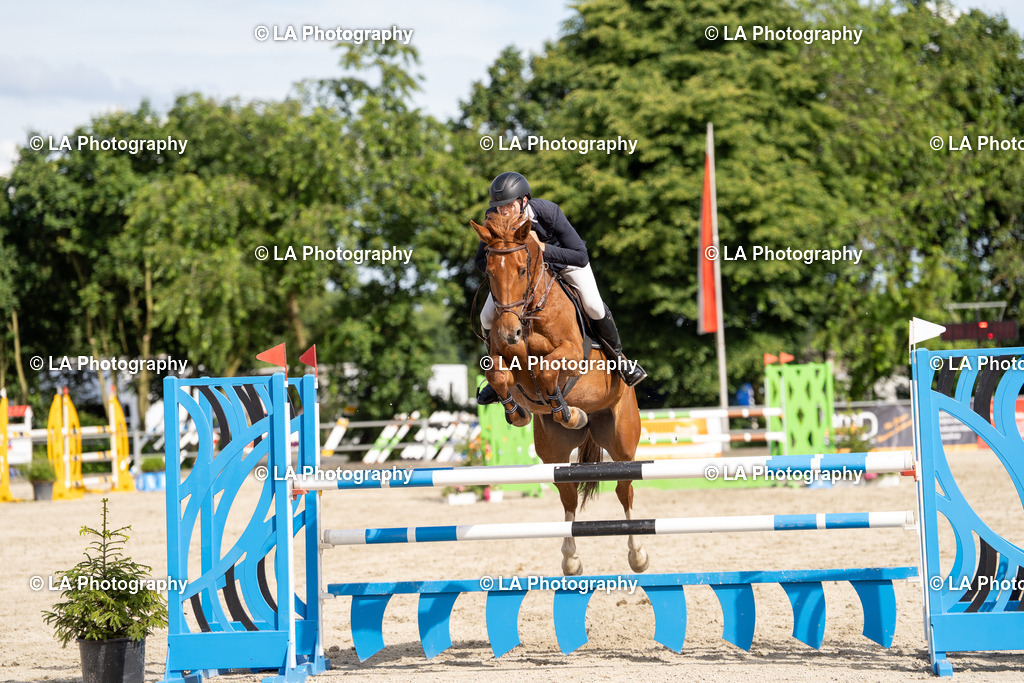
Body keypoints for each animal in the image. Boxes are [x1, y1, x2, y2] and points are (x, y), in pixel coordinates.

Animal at [471, 211, 648, 576]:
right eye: (489, 272)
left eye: (522, 270)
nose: (510, 333)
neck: (528, 312)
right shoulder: (502, 356)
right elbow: (498, 373)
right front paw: (518, 413)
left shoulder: (569, 352)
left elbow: (546, 370)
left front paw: (567, 410)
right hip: (553, 452)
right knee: (567, 495)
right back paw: (570, 559)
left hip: (622, 442)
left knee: (624, 489)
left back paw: (637, 554)